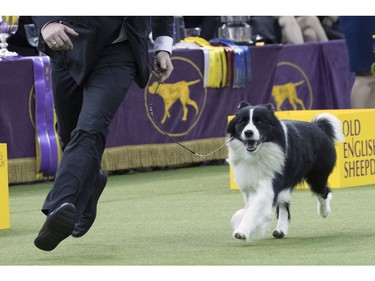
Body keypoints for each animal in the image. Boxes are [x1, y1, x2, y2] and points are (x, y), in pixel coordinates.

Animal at [226, 101, 344, 240]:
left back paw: (324, 212)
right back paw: (280, 230)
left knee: (323, 192)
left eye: (259, 122)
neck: (258, 153)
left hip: (317, 175)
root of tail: (319, 127)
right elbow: (252, 205)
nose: (248, 132)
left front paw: (242, 230)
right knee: (284, 202)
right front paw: (256, 225)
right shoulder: (249, 182)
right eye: (242, 122)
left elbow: (254, 208)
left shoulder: (271, 182)